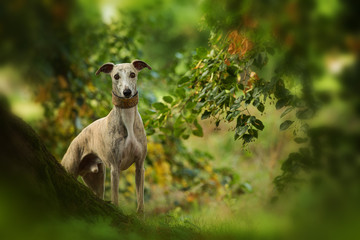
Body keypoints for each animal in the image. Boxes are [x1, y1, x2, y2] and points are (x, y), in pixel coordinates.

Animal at [61, 59, 150, 212]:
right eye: (116, 76)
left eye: (132, 74)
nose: (127, 92)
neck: (127, 118)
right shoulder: (115, 168)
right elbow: (115, 198)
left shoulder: (140, 166)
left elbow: (140, 202)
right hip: (71, 168)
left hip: (97, 178)